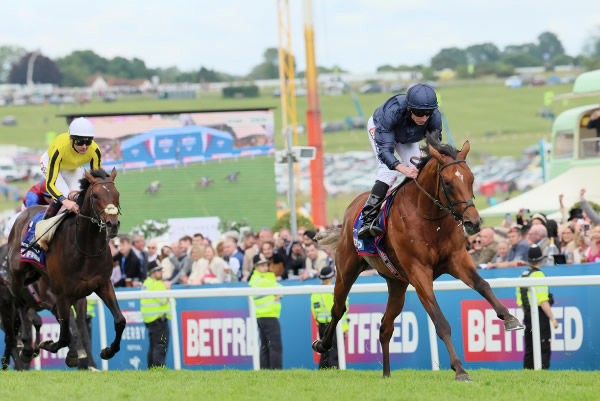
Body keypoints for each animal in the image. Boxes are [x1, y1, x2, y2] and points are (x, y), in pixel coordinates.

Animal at [5, 167, 125, 360]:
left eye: (117, 194)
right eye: (95, 196)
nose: (112, 224)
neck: (85, 249)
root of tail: (21, 215)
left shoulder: (103, 284)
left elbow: (120, 320)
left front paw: (108, 350)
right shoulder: (62, 294)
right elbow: (64, 336)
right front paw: (48, 345)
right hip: (16, 275)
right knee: (19, 302)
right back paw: (25, 344)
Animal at [312, 134, 524, 378]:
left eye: (472, 179)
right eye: (448, 183)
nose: (473, 222)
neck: (429, 218)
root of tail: (352, 208)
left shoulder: (457, 260)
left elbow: (483, 285)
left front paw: (510, 318)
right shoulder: (419, 271)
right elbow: (440, 321)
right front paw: (459, 369)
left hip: (397, 284)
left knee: (385, 327)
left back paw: (386, 374)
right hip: (346, 269)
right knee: (338, 308)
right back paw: (322, 344)